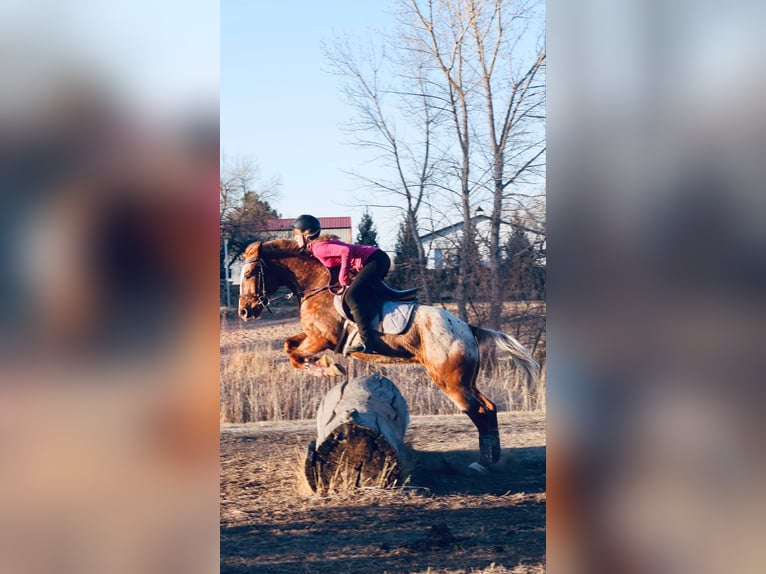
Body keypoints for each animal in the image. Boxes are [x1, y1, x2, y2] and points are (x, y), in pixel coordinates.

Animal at [237, 239, 539, 467]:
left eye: (249, 275)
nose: (245, 311)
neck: (316, 284)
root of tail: (468, 328)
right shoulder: (312, 335)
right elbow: (289, 347)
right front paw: (325, 366)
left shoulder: (322, 337)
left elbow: (296, 355)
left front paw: (328, 368)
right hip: (465, 380)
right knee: (488, 407)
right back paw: (492, 457)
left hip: (450, 382)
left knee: (477, 411)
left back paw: (484, 461)